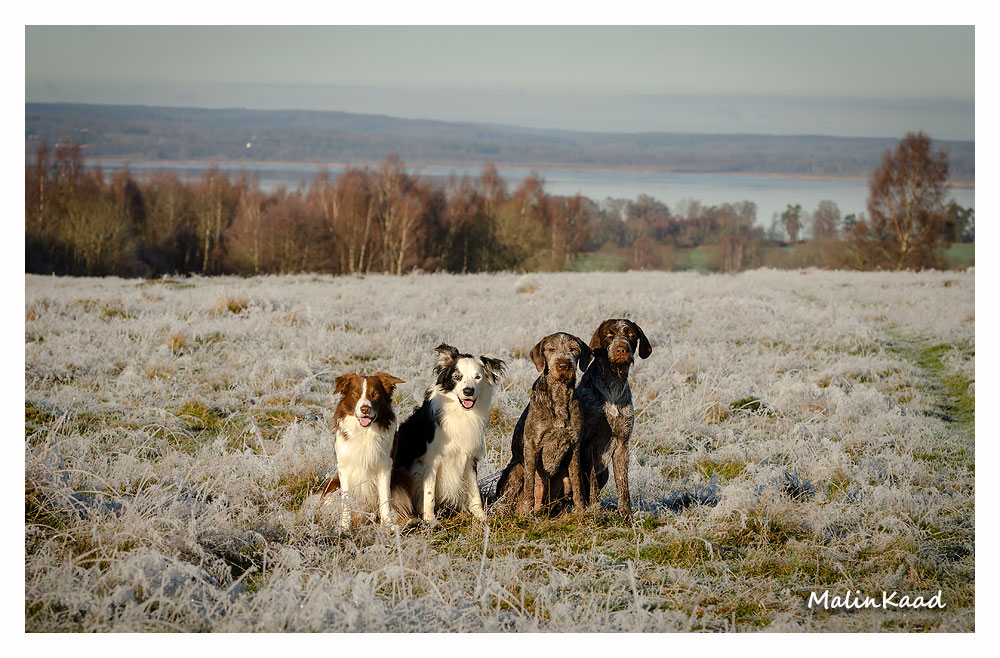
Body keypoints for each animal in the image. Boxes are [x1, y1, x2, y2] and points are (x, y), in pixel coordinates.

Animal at [320, 372, 414, 529]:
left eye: (375, 394)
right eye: (355, 394)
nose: (365, 409)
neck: (364, 432)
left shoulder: (385, 466)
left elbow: (385, 499)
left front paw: (388, 525)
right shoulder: (344, 468)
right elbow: (346, 500)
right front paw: (345, 527)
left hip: (403, 477)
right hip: (331, 485)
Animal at [395, 344, 506, 523]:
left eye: (477, 377)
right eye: (457, 377)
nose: (468, 391)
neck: (461, 412)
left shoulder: (469, 458)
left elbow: (474, 492)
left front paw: (481, 517)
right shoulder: (430, 461)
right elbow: (429, 493)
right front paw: (430, 521)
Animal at [495, 332, 592, 516]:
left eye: (573, 349)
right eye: (551, 349)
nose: (563, 365)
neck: (560, 396)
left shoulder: (575, 445)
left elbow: (578, 484)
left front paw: (582, 511)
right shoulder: (532, 445)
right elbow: (530, 485)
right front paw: (527, 514)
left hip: (562, 480)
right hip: (516, 470)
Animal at [577, 318, 652, 520]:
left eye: (631, 334)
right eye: (609, 334)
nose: (621, 349)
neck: (613, 386)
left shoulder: (622, 444)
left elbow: (623, 484)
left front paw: (626, 515)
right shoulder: (587, 442)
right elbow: (591, 482)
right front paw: (596, 511)